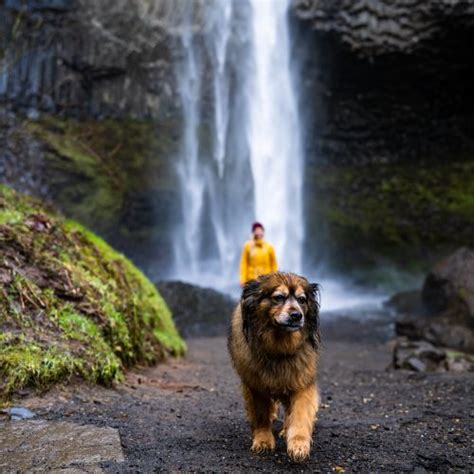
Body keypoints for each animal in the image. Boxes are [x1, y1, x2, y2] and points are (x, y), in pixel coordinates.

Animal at [228, 272, 320, 462]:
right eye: (278, 297)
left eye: (302, 300)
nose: (297, 315)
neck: (279, 347)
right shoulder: (255, 387)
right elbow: (261, 414)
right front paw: (263, 440)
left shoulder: (302, 381)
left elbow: (300, 414)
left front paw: (298, 444)